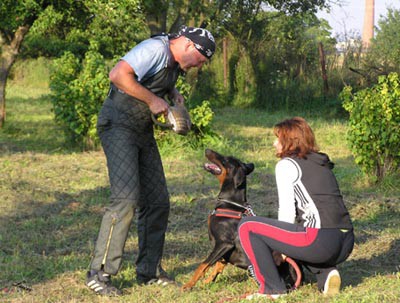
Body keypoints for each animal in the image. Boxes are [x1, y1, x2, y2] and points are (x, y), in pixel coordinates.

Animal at [182, 150, 300, 292]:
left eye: (225, 159)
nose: (207, 150)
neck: (230, 204)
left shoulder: (224, 243)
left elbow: (203, 264)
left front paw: (188, 285)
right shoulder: (224, 249)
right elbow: (218, 264)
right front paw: (208, 281)